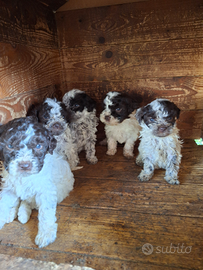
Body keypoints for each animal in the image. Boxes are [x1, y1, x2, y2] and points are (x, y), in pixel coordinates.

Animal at [0, 116, 74, 247]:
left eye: (39, 146)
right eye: (10, 146)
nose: (24, 165)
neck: (24, 177)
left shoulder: (45, 192)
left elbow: (46, 213)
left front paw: (46, 235)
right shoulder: (8, 188)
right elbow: (3, 204)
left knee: (28, 202)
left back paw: (22, 214)